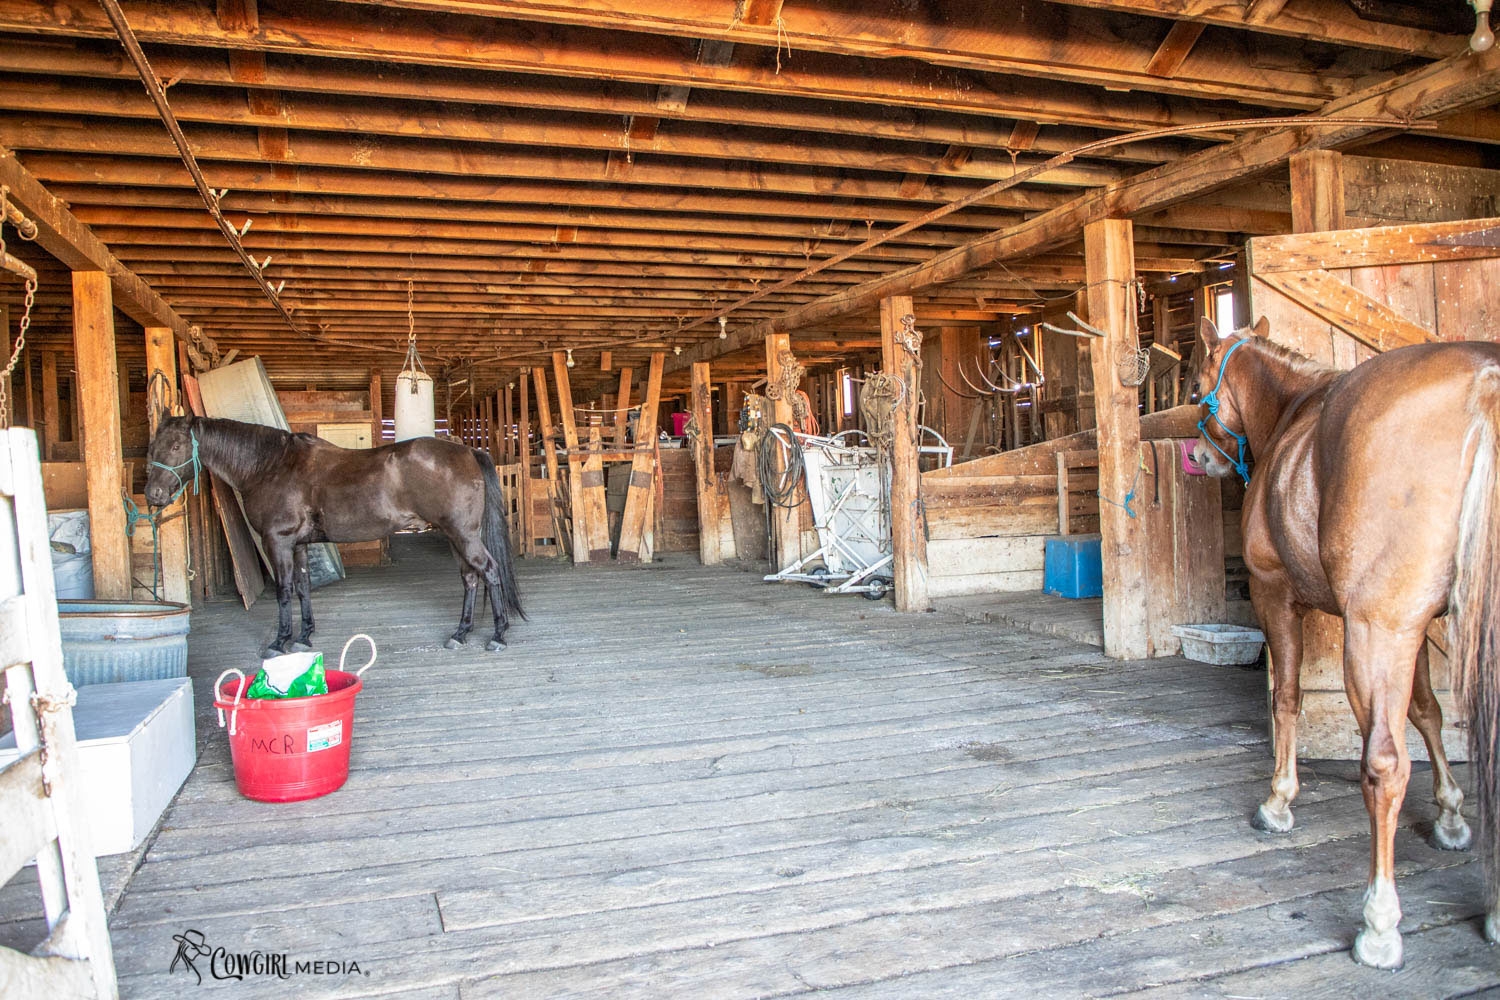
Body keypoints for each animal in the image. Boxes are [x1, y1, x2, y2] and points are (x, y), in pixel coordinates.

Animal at [146, 413, 522, 656]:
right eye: (153, 445)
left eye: (177, 445)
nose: (153, 494)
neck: (270, 466)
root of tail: (467, 450)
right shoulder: (297, 545)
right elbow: (302, 588)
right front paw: (304, 637)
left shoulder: (278, 542)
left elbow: (284, 591)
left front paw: (279, 642)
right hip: (455, 536)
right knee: (470, 579)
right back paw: (460, 633)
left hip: (464, 536)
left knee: (489, 572)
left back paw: (498, 635)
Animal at [1188, 319, 1494, 971]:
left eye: (1199, 385)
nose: (1199, 457)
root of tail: (1483, 386)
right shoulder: (1416, 623)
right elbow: (1428, 711)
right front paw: (1451, 816)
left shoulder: (1277, 594)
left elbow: (1287, 698)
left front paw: (1278, 802)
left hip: (1373, 629)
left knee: (1384, 765)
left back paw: (1379, 924)